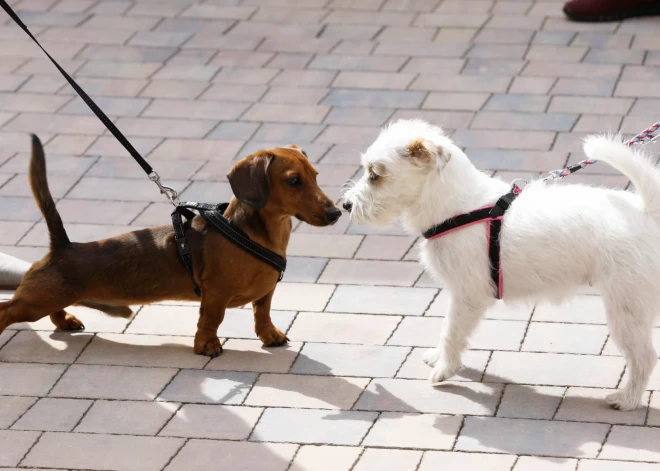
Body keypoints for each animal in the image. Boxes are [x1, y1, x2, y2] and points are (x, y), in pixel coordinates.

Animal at [0, 136, 340, 358]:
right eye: (293, 181)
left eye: (315, 176)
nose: (336, 213)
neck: (251, 233)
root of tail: (63, 246)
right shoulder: (215, 294)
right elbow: (211, 319)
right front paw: (207, 346)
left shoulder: (267, 291)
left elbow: (263, 313)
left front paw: (271, 337)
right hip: (35, 302)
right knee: (6, 309)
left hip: (51, 297)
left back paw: (65, 321)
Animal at [342, 120, 660, 412]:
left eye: (375, 175)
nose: (345, 205)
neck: (458, 206)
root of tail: (648, 212)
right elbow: (448, 330)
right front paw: (438, 357)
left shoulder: (467, 295)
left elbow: (452, 331)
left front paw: (445, 369)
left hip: (626, 307)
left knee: (644, 356)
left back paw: (627, 399)